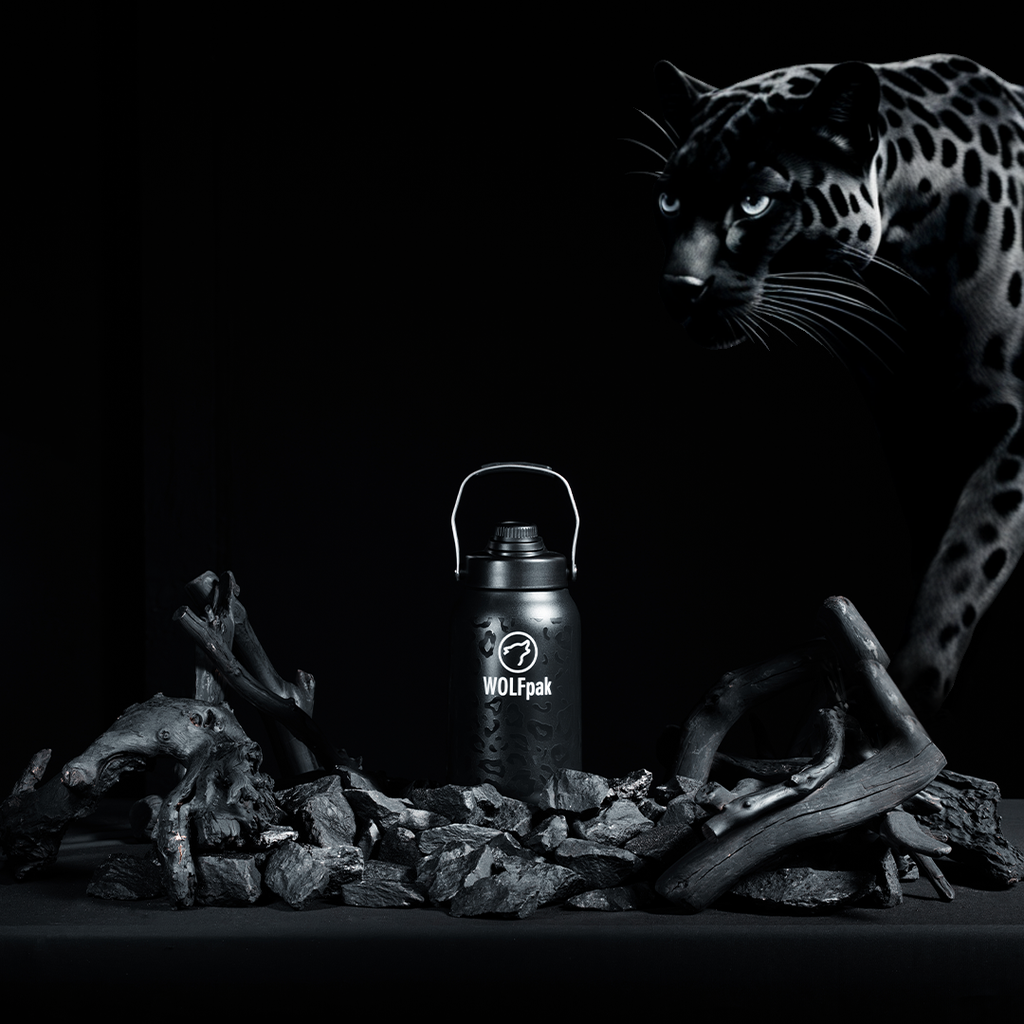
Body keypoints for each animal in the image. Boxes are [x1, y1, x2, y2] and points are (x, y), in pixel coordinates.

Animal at [631, 54, 1023, 719]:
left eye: (755, 203)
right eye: (669, 199)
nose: (679, 287)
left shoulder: (1012, 430)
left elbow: (964, 561)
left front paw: (907, 696)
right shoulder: (916, 439)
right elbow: (938, 555)